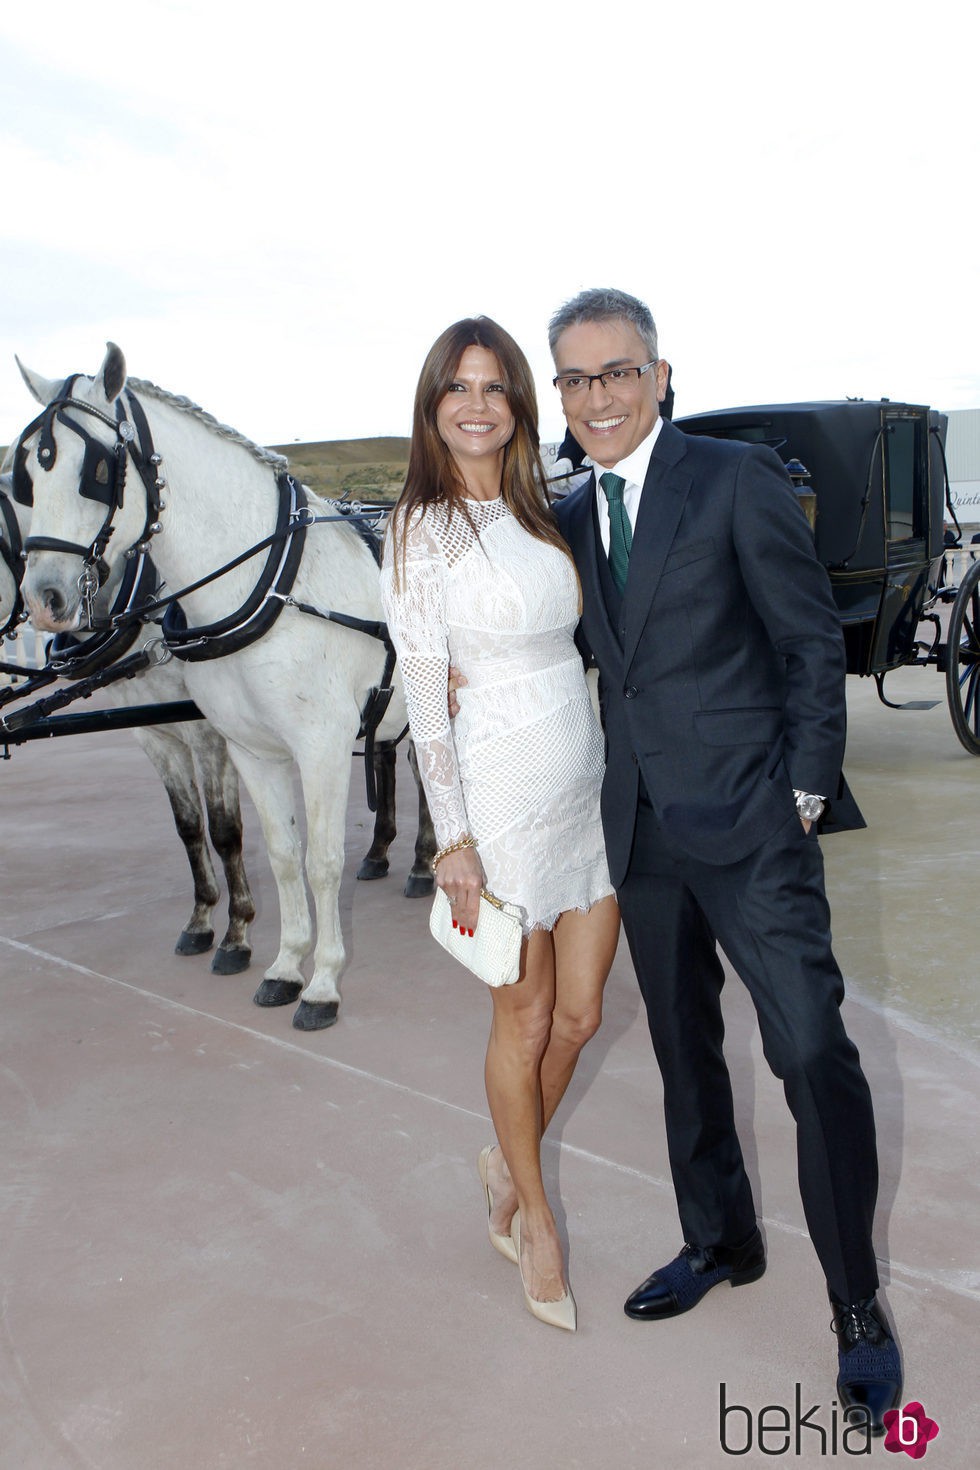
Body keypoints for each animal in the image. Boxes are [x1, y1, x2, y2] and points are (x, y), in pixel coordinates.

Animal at [16, 348, 429, 1029]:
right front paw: (284, 967)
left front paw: (322, 984)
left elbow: (319, 861)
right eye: (24, 476)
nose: (44, 599)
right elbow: (280, 853)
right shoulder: (244, 747)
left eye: (97, 469)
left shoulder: (316, 745)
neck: (270, 584)